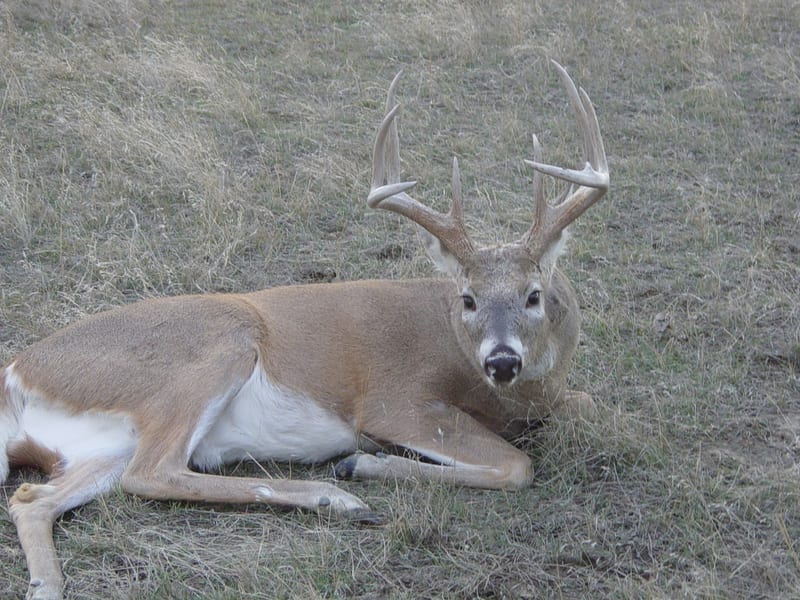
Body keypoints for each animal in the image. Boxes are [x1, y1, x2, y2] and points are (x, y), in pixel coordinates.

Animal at [0, 61, 608, 600]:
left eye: (534, 294)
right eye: (468, 298)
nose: (502, 361)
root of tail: (15, 372)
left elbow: (587, 406)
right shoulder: (395, 401)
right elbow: (517, 464)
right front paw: (363, 463)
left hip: (100, 447)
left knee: (31, 496)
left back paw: (46, 586)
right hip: (219, 343)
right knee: (153, 472)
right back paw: (334, 496)